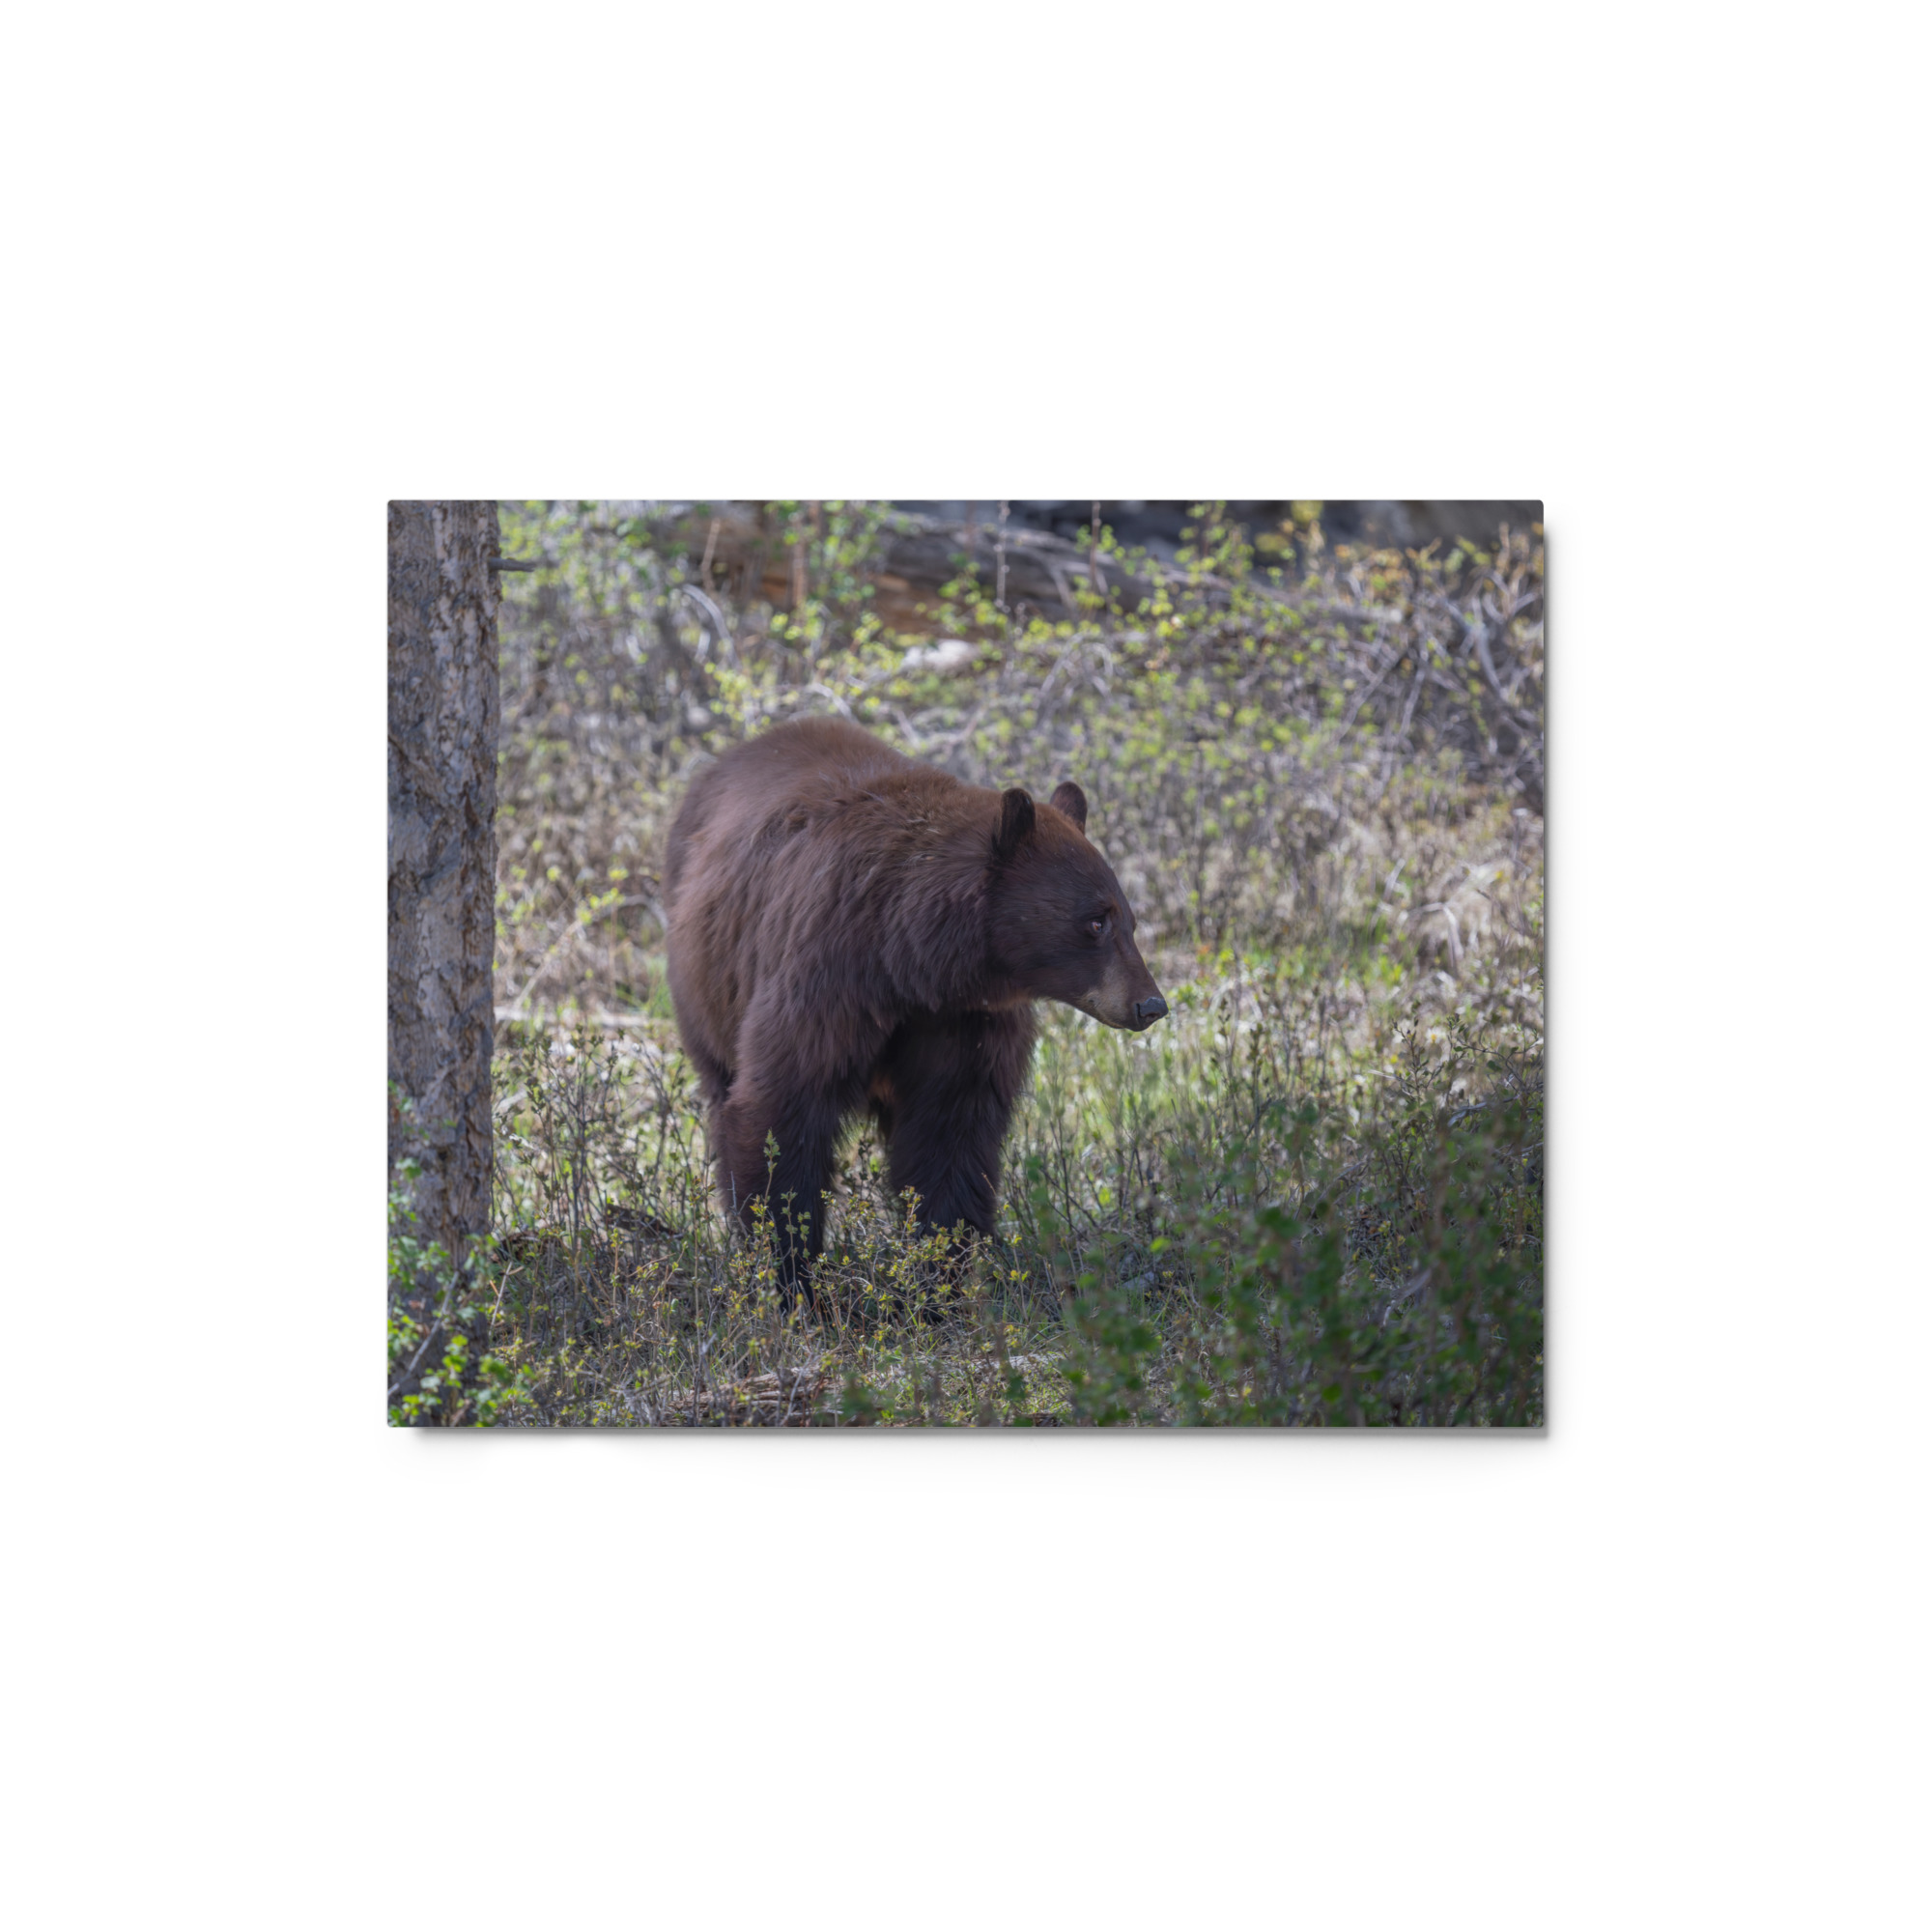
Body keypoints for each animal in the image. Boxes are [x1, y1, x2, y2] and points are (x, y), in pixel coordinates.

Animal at [662, 716, 1166, 1289]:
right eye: (1096, 921)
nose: (1150, 1005)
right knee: (721, 1087)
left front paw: (936, 1275)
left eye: (1129, 921)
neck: (910, 961)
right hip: (706, 987)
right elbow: (782, 1111)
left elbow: (950, 1136)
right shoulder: (826, 978)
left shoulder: (964, 1021)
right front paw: (792, 1275)